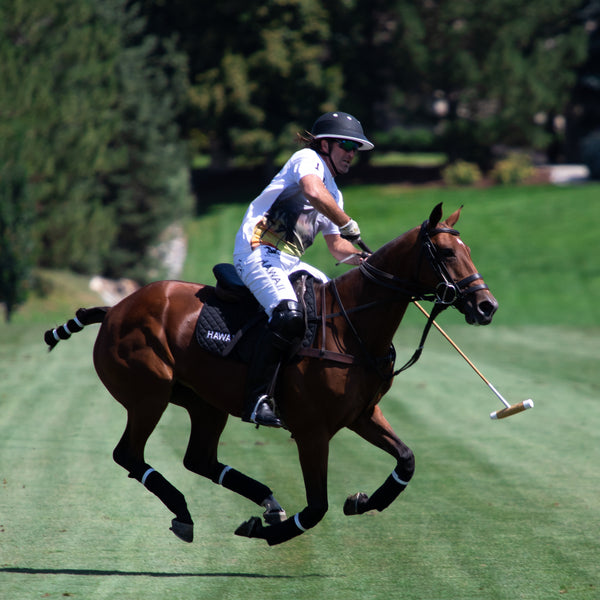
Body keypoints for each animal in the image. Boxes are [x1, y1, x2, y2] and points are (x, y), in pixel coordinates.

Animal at [44, 202, 496, 544]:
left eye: (470, 249)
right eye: (448, 253)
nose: (486, 306)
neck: (349, 328)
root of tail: (114, 309)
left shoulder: (362, 414)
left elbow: (406, 460)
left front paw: (362, 501)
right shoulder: (312, 432)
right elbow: (316, 507)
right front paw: (268, 534)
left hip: (204, 402)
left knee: (198, 459)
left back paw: (263, 502)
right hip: (147, 394)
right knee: (129, 454)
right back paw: (190, 511)